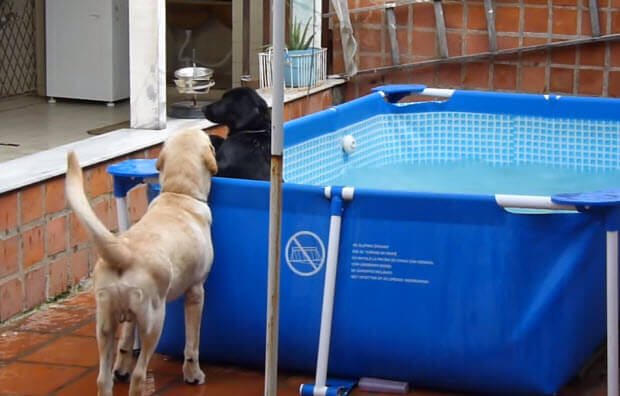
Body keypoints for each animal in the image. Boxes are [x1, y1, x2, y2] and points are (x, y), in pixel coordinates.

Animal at [65, 130, 218, 396]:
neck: (178, 194)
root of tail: (124, 253)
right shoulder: (196, 292)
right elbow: (192, 344)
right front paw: (193, 374)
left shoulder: (129, 317)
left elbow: (126, 340)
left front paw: (121, 367)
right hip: (154, 320)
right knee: (139, 375)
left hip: (104, 322)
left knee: (103, 379)